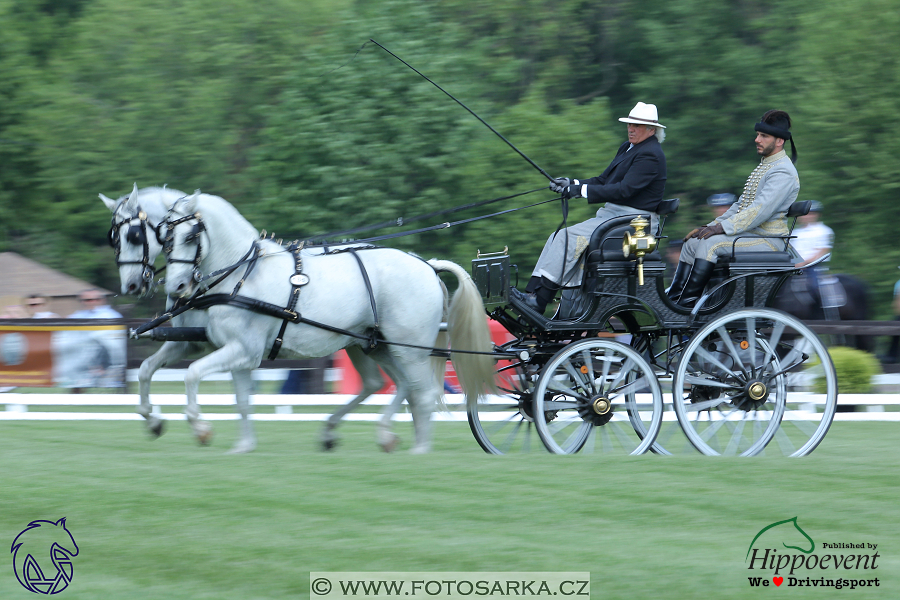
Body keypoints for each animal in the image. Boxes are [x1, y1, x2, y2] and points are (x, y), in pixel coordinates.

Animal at [163, 190, 500, 452]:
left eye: (190, 235)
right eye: (166, 238)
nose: (176, 287)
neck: (245, 274)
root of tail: (426, 264)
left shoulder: (244, 350)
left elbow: (192, 373)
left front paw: (200, 427)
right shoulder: (240, 354)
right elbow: (243, 400)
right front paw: (243, 446)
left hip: (409, 350)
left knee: (422, 393)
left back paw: (419, 450)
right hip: (375, 346)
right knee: (397, 386)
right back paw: (371, 434)